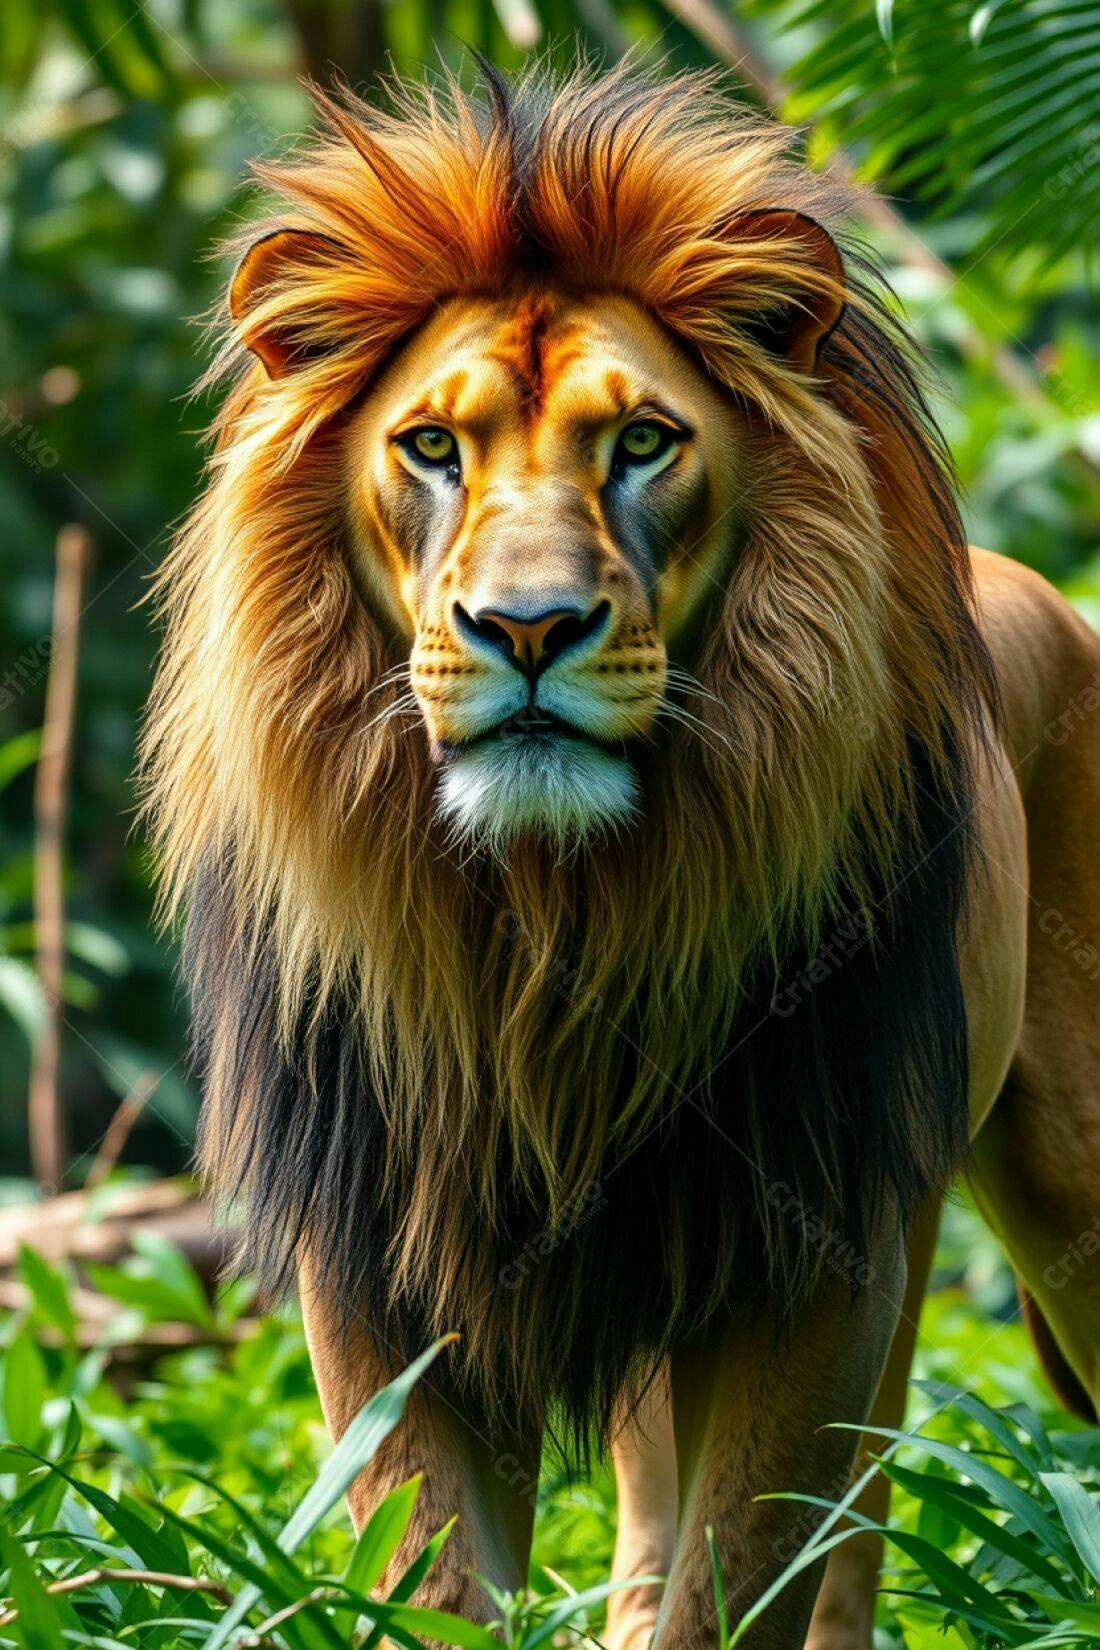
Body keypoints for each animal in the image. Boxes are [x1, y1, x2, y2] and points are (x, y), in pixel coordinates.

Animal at [142, 59, 1100, 1650]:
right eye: (431, 446)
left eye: (642, 440)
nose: (527, 629)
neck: (555, 923)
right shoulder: (384, 1262)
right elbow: (433, 1575)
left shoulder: (806, 1249)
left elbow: (735, 1586)